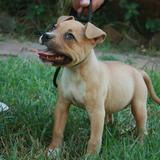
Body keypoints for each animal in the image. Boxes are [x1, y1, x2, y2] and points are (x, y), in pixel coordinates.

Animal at [36, 15, 160, 158]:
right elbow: (57, 130)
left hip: (138, 105)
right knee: (110, 116)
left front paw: (90, 156)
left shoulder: (96, 112)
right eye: (53, 27)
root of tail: (139, 71)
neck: (76, 73)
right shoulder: (62, 106)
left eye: (69, 36)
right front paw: (53, 150)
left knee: (142, 128)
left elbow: (94, 139)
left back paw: (139, 146)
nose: (46, 35)